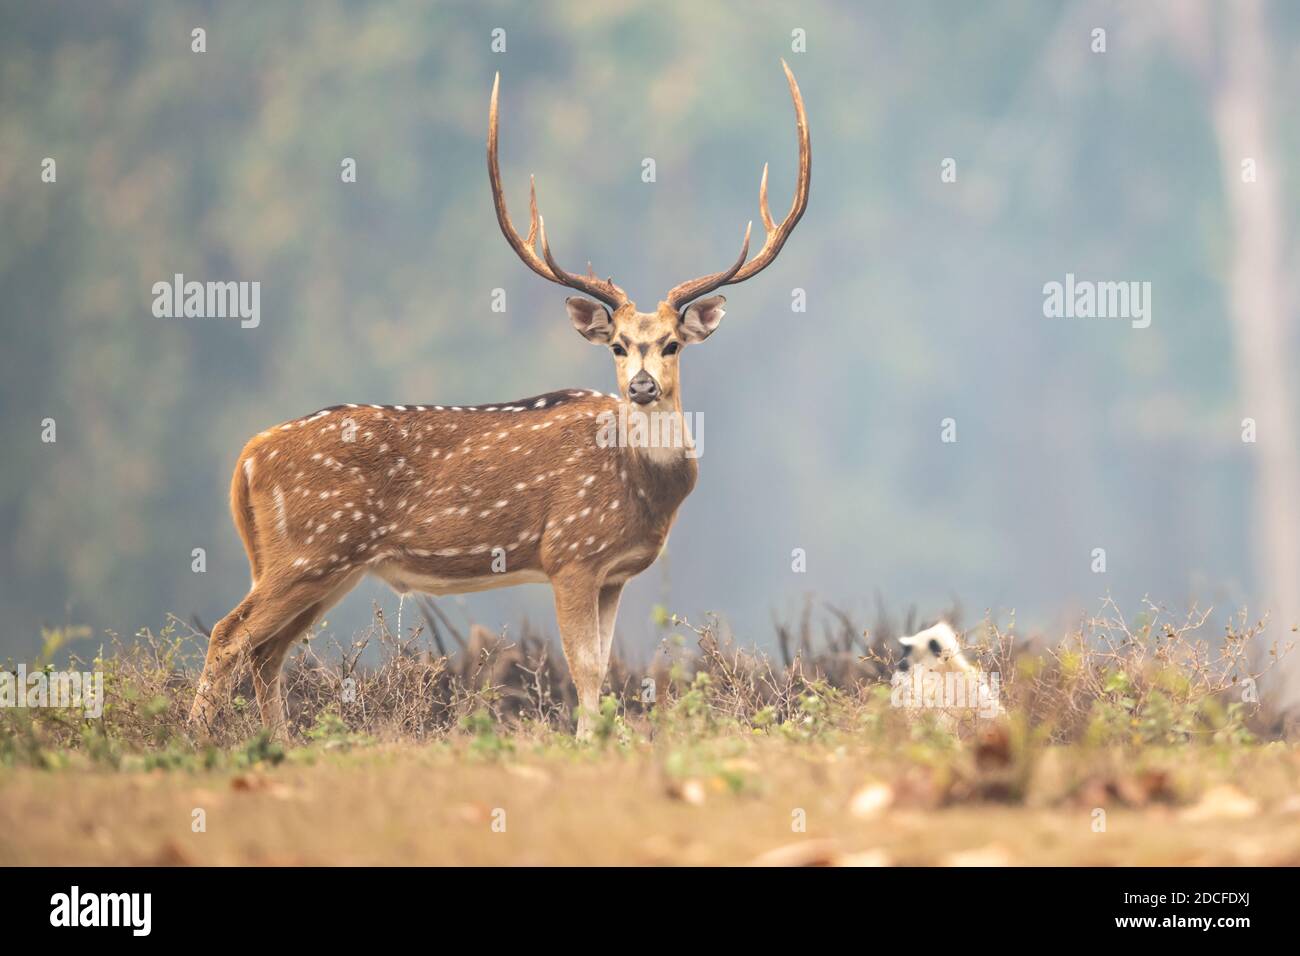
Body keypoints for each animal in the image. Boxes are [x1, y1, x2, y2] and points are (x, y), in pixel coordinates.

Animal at [188, 61, 810, 740]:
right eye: (618, 346)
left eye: (672, 344)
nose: (642, 386)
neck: (644, 488)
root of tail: (249, 456)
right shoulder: (570, 551)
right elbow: (585, 667)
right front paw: (586, 742)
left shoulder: (613, 573)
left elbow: (606, 667)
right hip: (310, 549)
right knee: (228, 634)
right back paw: (192, 736)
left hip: (322, 563)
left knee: (266, 650)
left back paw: (275, 741)